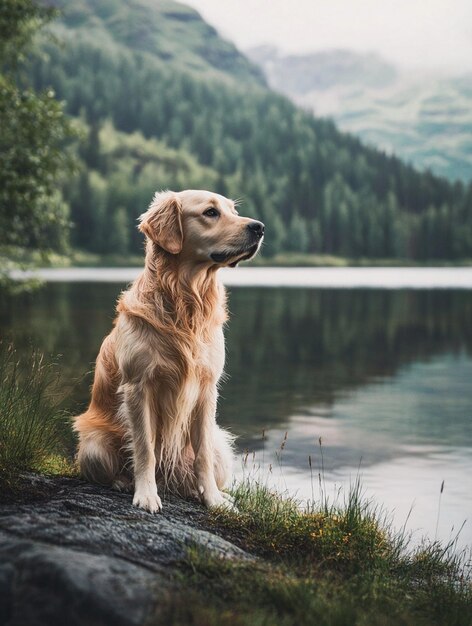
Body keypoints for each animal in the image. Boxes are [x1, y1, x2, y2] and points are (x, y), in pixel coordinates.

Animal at [74, 188, 266, 510]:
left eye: (233, 210)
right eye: (211, 212)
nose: (260, 227)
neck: (186, 300)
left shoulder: (207, 389)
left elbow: (201, 455)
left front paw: (213, 499)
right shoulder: (138, 387)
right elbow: (145, 448)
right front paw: (146, 495)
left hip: (221, 446)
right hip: (93, 445)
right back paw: (124, 483)